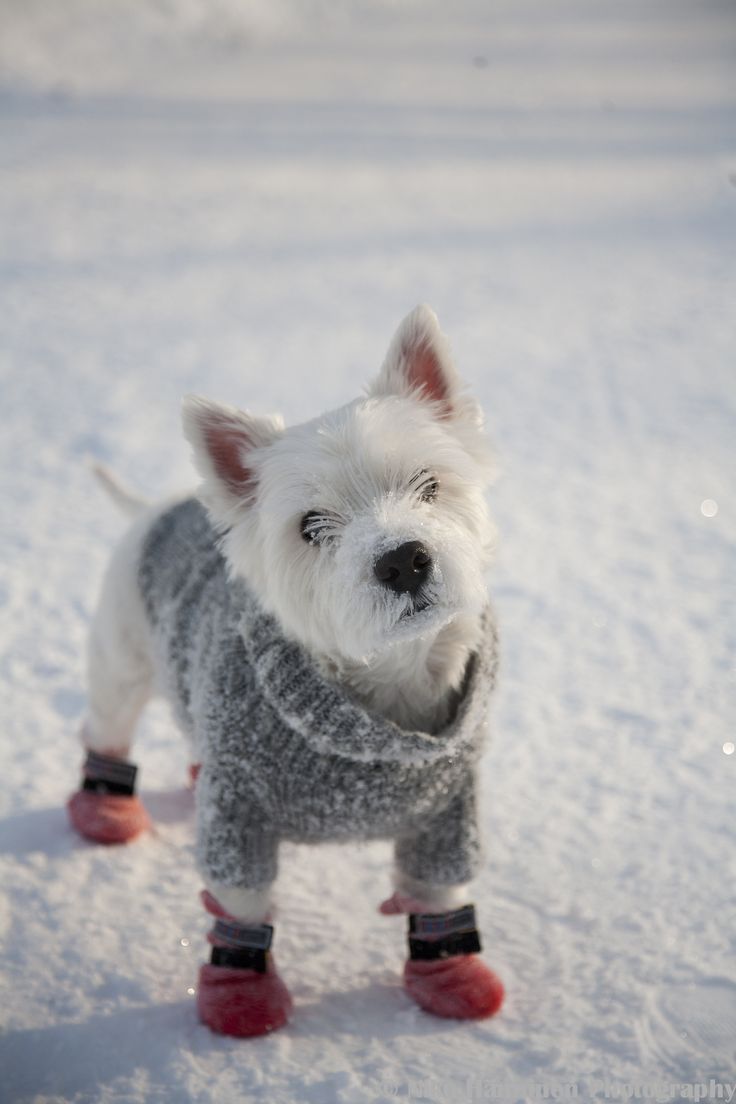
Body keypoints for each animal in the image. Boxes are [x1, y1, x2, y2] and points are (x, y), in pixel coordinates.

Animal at [68, 306, 503, 1037]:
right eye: (311, 525)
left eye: (429, 484)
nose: (403, 560)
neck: (384, 690)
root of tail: (163, 504)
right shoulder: (238, 816)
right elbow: (241, 905)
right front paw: (240, 1000)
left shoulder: (447, 816)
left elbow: (436, 893)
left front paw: (452, 976)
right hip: (120, 661)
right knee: (108, 729)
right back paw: (105, 811)